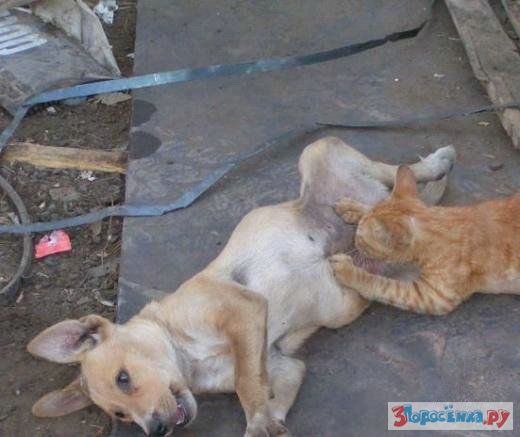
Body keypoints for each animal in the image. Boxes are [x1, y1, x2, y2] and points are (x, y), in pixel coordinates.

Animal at [27, 137, 456, 437]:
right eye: (120, 415)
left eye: (124, 378)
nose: (158, 430)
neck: (187, 354)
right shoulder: (284, 364)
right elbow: (268, 391)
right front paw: (265, 424)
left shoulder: (243, 308)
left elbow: (246, 382)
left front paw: (257, 418)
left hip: (317, 151)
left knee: (397, 171)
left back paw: (437, 162)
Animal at [329, 165, 520, 315]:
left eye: (360, 239)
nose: (354, 243)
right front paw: (354, 207)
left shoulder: (434, 296)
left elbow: (382, 284)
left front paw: (348, 271)